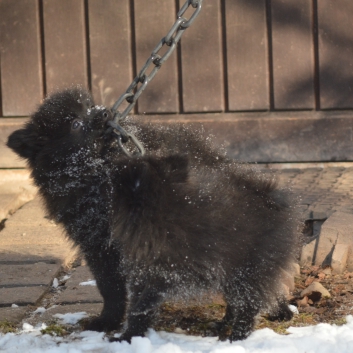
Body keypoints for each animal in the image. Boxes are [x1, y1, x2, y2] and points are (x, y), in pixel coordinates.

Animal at [6, 86, 296, 340]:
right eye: (76, 123)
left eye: (89, 106)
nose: (104, 112)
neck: (97, 174)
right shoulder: (98, 247)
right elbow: (109, 288)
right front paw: (109, 320)